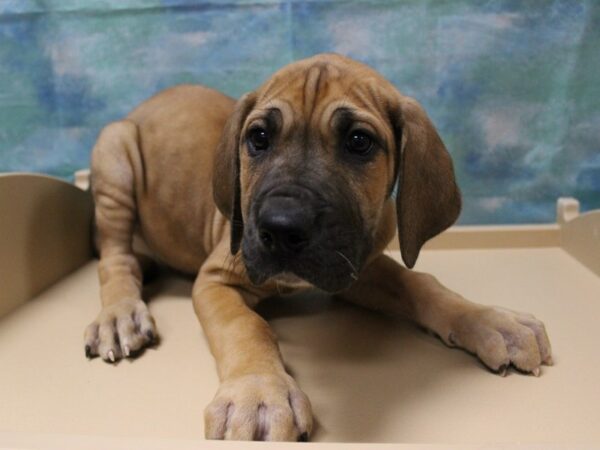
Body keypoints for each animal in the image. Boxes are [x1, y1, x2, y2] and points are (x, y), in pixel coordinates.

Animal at [84, 54, 552, 442]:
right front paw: (259, 392)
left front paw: (490, 321)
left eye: (359, 142)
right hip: (113, 154)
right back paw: (119, 315)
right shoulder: (217, 278)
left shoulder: (355, 265)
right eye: (258, 137)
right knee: (115, 258)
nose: (281, 228)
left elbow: (419, 282)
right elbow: (246, 325)